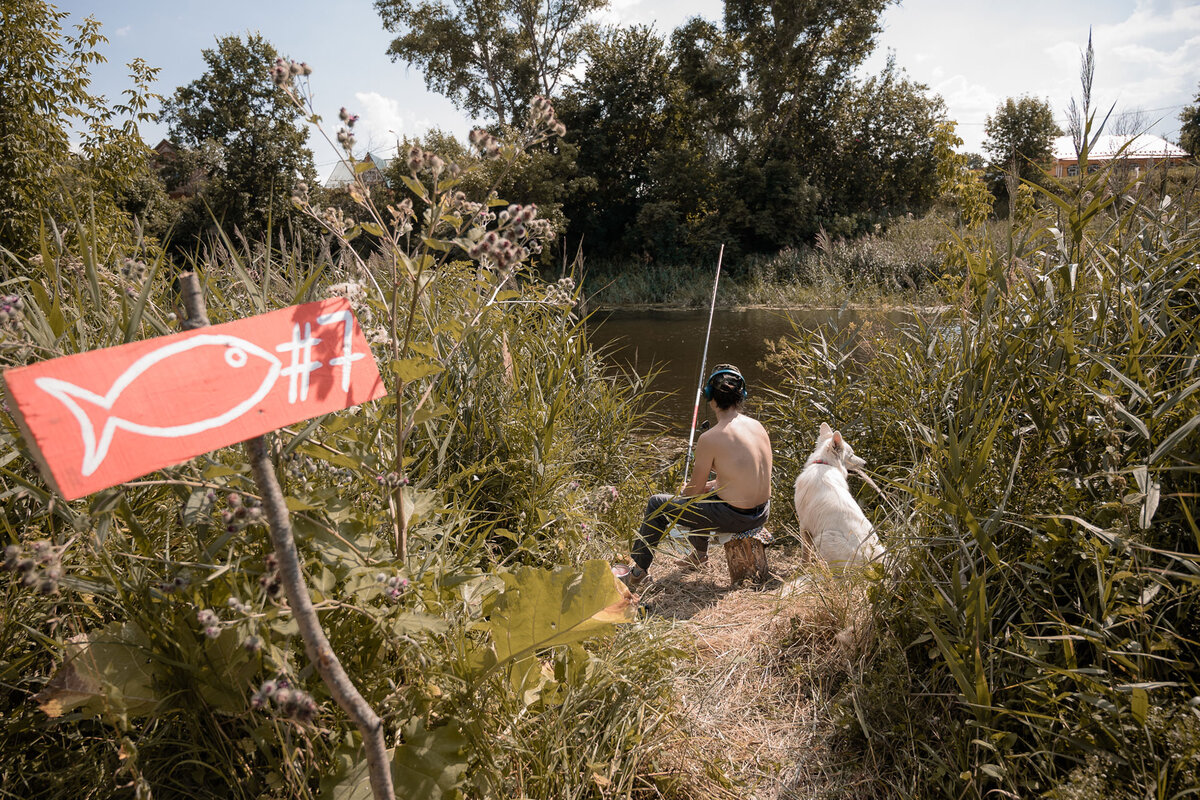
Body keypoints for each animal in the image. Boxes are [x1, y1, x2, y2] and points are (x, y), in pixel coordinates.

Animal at [792, 424, 888, 568]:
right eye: (852, 455)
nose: (865, 463)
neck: (823, 464)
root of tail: (871, 563)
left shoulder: (804, 525)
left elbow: (805, 553)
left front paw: (804, 567)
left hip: (823, 538)